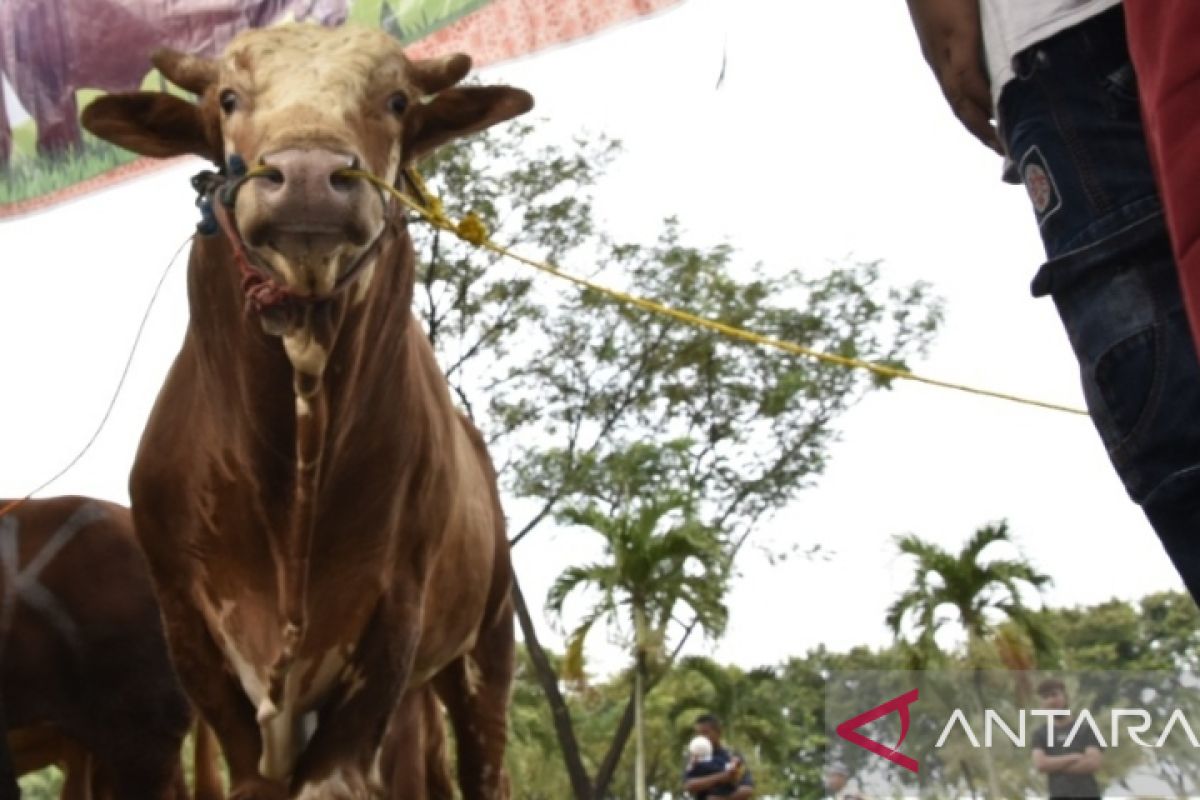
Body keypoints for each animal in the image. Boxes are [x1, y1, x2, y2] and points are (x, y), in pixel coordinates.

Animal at [83, 23, 530, 800]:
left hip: (487, 646)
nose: (309, 175)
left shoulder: (394, 621)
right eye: (228, 99)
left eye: (397, 100)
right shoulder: (190, 631)